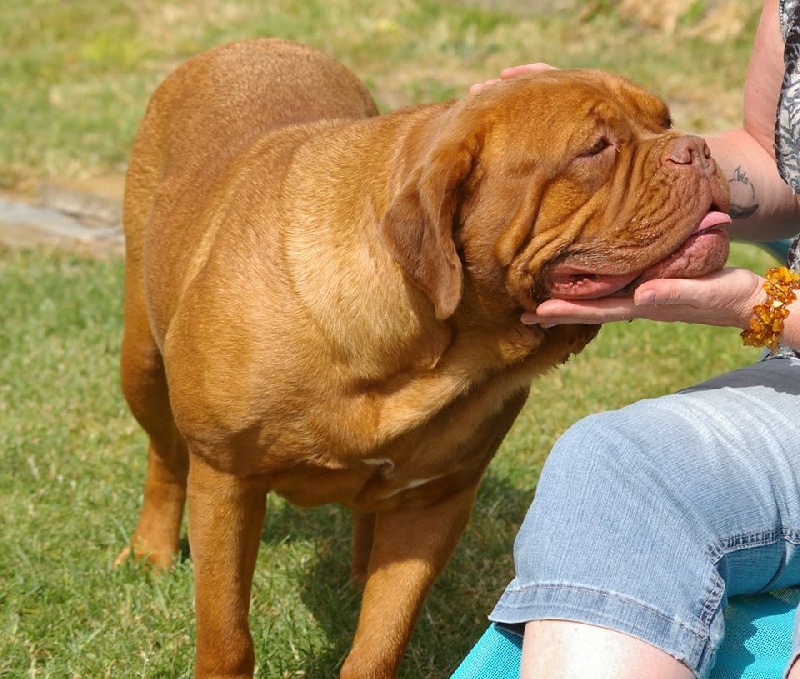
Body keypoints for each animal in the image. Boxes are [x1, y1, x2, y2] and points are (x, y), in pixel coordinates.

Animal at [117, 38, 732, 679]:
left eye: (665, 120)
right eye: (596, 148)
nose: (698, 147)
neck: (427, 349)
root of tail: (251, 42)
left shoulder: (432, 504)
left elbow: (380, 642)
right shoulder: (227, 481)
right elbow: (226, 633)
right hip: (142, 361)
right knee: (165, 456)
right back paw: (151, 551)